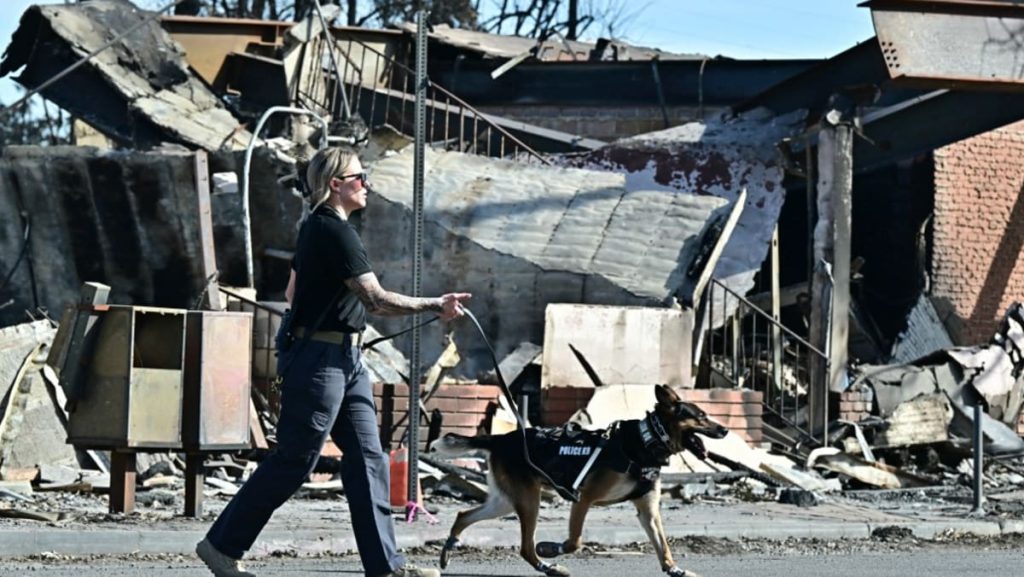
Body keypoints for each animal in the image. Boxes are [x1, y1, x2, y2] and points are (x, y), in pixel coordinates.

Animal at [430, 383, 729, 577]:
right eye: (701, 416)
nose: (725, 430)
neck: (647, 440)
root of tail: (501, 438)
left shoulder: (648, 509)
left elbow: (663, 544)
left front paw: (674, 569)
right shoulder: (583, 499)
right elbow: (575, 542)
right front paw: (552, 548)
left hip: (507, 501)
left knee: (463, 515)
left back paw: (447, 552)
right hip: (529, 501)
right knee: (526, 548)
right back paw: (548, 566)